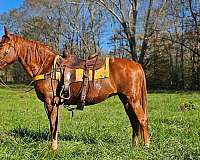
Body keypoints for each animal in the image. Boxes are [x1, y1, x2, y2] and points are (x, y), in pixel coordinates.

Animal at [0, 26, 149, 151]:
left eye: (4, 48)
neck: (46, 66)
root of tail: (136, 65)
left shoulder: (50, 102)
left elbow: (52, 124)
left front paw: (53, 148)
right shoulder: (56, 103)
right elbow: (55, 124)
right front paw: (55, 145)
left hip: (133, 100)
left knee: (142, 119)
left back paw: (146, 146)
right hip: (126, 100)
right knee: (134, 121)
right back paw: (134, 146)